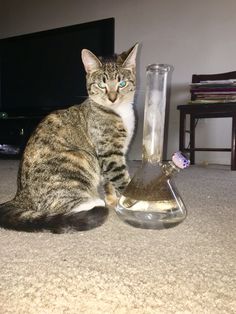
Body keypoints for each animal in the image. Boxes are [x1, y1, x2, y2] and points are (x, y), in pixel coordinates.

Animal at [0, 44, 138, 232]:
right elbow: (121, 177)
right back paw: (94, 203)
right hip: (78, 159)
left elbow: (109, 180)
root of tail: (20, 195)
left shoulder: (114, 153)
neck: (118, 112)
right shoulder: (109, 151)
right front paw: (132, 201)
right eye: (102, 85)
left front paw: (113, 199)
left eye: (122, 83)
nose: (112, 98)